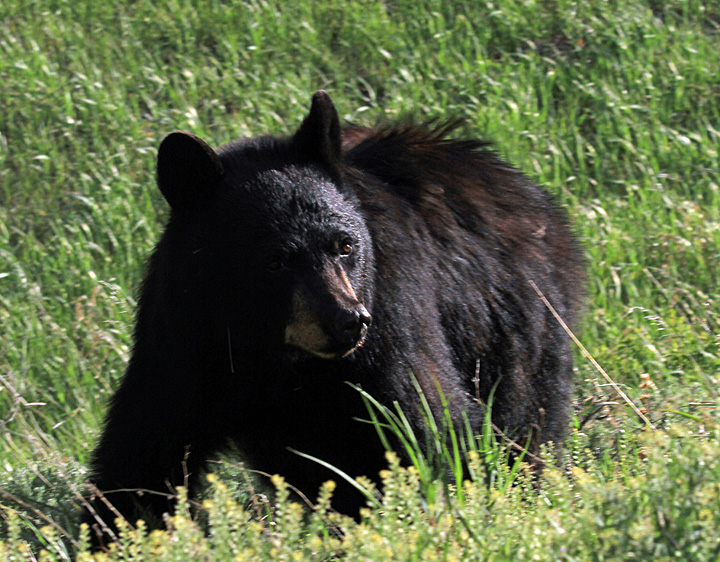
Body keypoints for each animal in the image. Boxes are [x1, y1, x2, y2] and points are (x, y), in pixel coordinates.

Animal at [81, 91, 585, 547]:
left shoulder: (391, 324)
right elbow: (143, 456)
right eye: (274, 262)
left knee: (526, 419)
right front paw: (110, 533)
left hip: (518, 326)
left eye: (345, 245)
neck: (270, 353)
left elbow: (424, 426)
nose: (348, 321)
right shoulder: (184, 342)